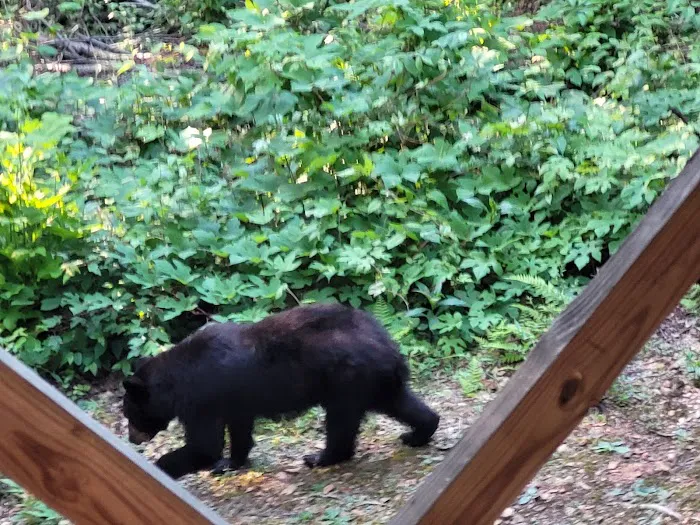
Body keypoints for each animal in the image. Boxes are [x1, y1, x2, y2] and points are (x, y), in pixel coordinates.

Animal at [122, 303, 440, 479]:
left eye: (129, 415)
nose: (132, 439)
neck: (177, 380)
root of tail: (387, 346)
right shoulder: (233, 401)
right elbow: (239, 431)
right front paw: (230, 461)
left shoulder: (202, 400)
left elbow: (204, 445)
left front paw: (162, 466)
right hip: (373, 381)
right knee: (400, 402)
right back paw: (418, 432)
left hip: (345, 380)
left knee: (341, 422)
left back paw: (321, 457)